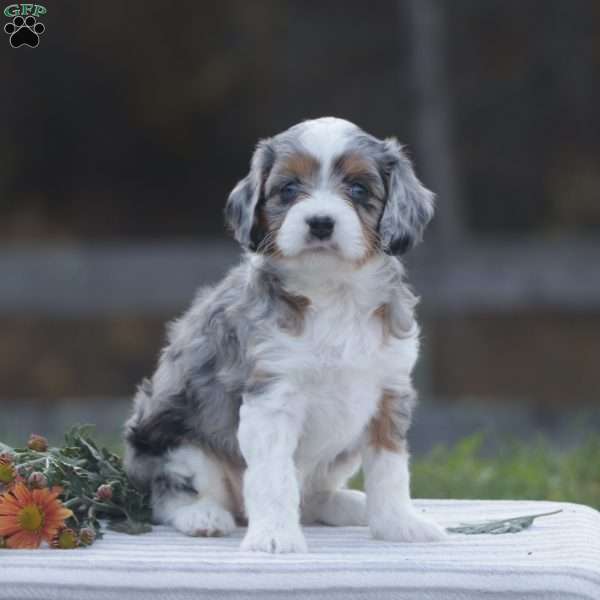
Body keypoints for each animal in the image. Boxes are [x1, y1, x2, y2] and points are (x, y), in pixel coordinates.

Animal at [124, 115, 448, 552]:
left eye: (358, 189)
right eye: (289, 189)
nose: (321, 223)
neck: (333, 292)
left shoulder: (388, 393)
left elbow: (390, 469)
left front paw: (399, 525)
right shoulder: (272, 396)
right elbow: (273, 476)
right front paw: (275, 537)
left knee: (312, 497)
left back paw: (348, 505)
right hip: (176, 443)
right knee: (171, 494)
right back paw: (203, 516)